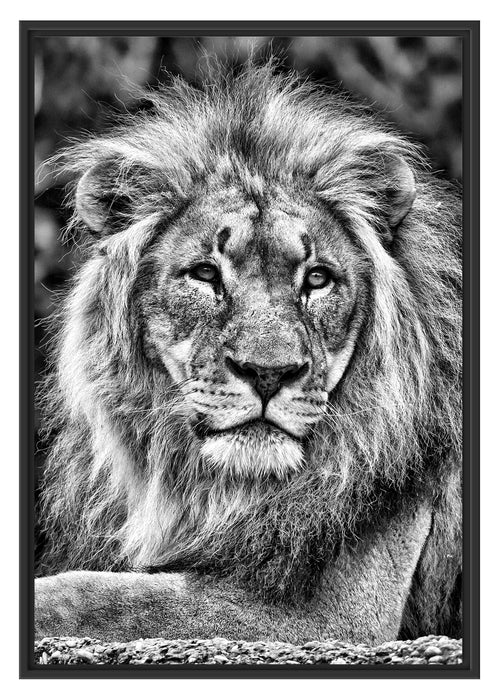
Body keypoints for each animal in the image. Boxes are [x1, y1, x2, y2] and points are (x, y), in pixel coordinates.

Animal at [35, 63, 462, 646]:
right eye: (205, 274)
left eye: (317, 279)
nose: (268, 373)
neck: (220, 490)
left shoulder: (337, 617)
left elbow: (104, 596)